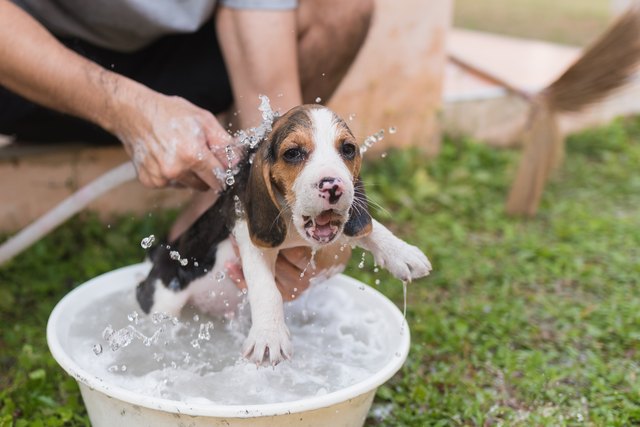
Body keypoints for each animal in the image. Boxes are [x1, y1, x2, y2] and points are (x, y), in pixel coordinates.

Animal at [137, 105, 432, 366]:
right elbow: (267, 289)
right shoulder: (248, 234)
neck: (293, 226)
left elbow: (370, 229)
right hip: (164, 299)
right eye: (293, 153)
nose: (334, 186)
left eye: (348, 149)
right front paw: (269, 336)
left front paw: (402, 253)